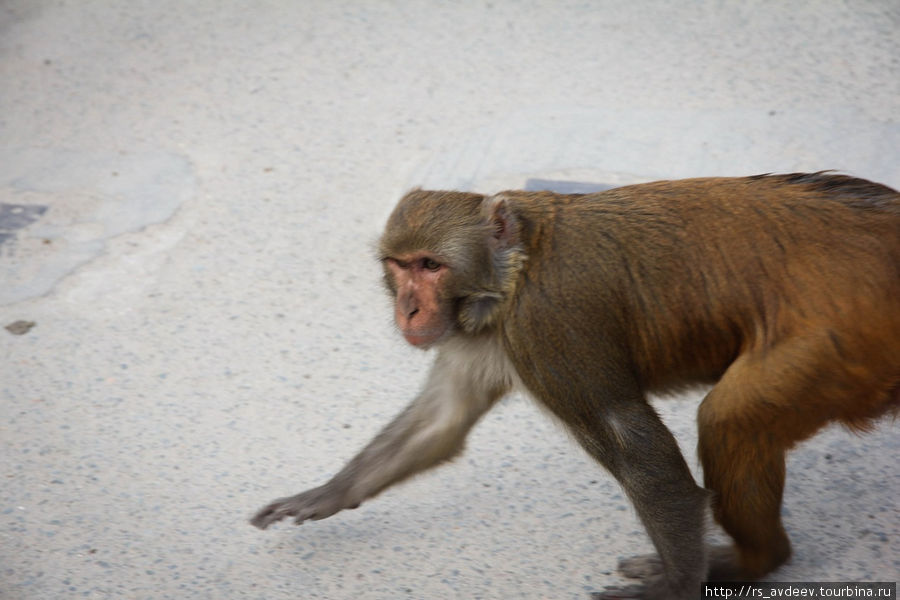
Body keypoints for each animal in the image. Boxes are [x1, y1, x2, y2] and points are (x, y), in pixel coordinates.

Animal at [253, 171, 900, 596]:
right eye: (400, 265)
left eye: (431, 266)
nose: (408, 309)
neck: (514, 269)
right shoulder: (484, 334)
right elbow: (444, 419)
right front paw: (326, 494)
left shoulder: (548, 325)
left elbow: (639, 452)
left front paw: (677, 586)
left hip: (839, 347)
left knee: (729, 419)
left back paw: (753, 562)